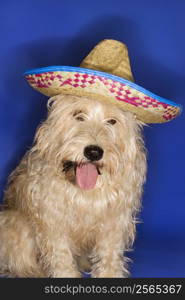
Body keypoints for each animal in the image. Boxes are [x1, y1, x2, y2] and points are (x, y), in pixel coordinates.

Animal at [0, 95, 147, 278]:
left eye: (112, 121)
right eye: (78, 115)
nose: (93, 152)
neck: (86, 193)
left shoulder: (114, 220)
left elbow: (109, 254)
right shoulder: (53, 220)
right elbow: (60, 256)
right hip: (16, 224)